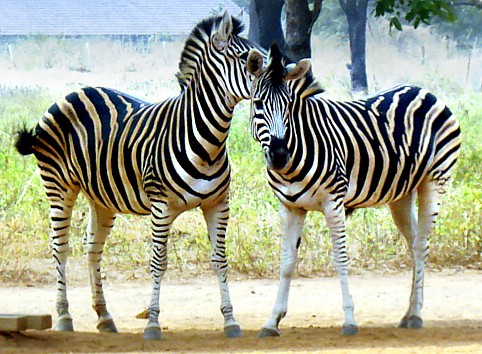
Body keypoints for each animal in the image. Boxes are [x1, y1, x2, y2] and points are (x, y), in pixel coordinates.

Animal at [14, 13, 260, 340]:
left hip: (101, 196)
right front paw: (153, 323)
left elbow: (220, 260)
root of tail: (73, 92)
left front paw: (230, 321)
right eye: (246, 58)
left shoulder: (218, 204)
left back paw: (104, 316)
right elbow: (158, 261)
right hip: (59, 185)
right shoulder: (161, 206)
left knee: (92, 248)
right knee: (60, 247)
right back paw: (64, 315)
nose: (279, 75)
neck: (206, 141)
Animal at [247, 44, 462, 338]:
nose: (279, 155)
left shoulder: (333, 202)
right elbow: (287, 261)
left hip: (434, 180)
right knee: (415, 242)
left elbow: (340, 258)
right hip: (401, 194)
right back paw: (408, 313)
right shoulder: (290, 206)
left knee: (421, 244)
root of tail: (425, 91)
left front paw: (349, 320)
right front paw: (272, 322)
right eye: (258, 103)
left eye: (289, 105)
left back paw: (416, 315)